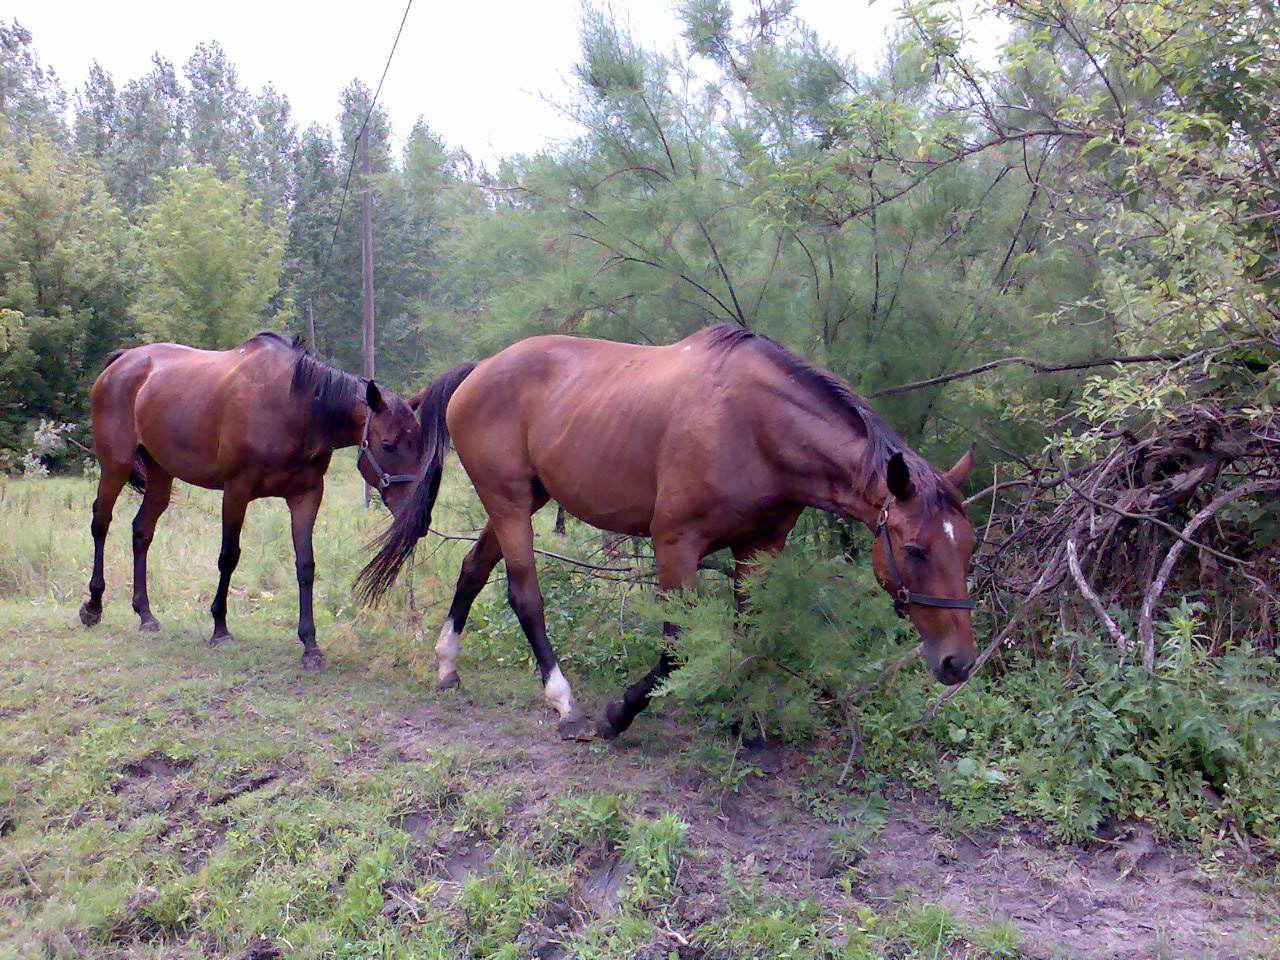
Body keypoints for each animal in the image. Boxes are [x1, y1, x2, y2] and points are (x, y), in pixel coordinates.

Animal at [77, 330, 422, 670]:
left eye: (419, 444)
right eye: (388, 445)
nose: (417, 517)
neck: (292, 407)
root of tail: (122, 361)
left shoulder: (306, 495)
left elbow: (305, 565)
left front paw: (310, 645)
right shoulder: (236, 491)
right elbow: (228, 557)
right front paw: (220, 630)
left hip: (161, 473)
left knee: (141, 531)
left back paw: (145, 614)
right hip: (116, 465)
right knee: (100, 522)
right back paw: (93, 606)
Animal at [355, 327, 972, 742]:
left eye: (966, 546)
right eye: (914, 549)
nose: (958, 663)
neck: (755, 425)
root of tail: (481, 368)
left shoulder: (760, 549)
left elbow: (747, 635)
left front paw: (745, 721)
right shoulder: (677, 545)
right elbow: (676, 647)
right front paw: (619, 714)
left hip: (524, 499)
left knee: (472, 571)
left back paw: (447, 666)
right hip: (508, 504)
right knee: (523, 594)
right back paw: (566, 705)